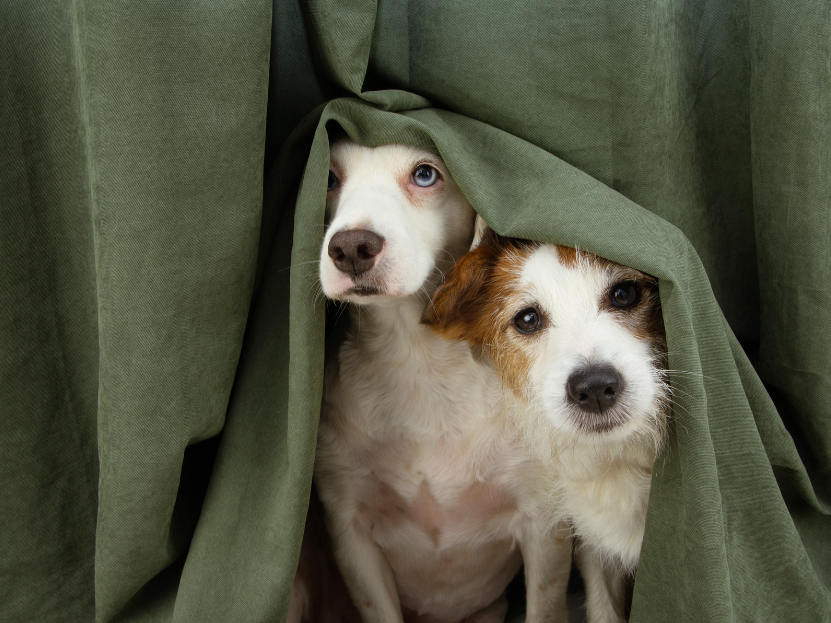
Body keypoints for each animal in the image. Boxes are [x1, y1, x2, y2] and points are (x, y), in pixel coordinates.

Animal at [312, 141, 572, 623]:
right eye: (329, 177)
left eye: (425, 174)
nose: (351, 246)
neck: (418, 361)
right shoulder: (350, 530)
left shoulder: (544, 522)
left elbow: (544, 606)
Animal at [426, 219, 672, 623]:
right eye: (527, 319)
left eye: (624, 294)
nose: (594, 387)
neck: (621, 459)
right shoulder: (596, 551)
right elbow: (604, 609)